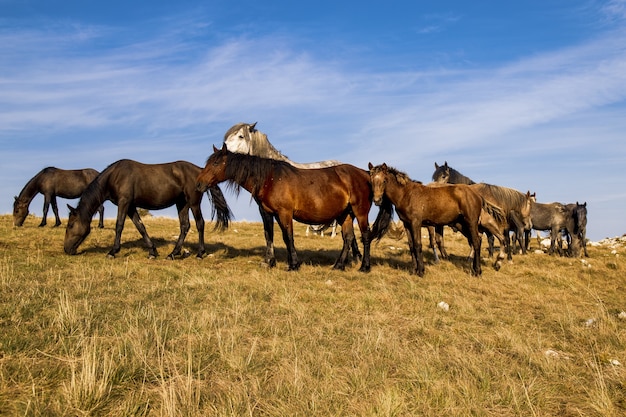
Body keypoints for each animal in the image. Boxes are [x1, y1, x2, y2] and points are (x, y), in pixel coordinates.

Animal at [63, 158, 230, 256]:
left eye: (70, 225)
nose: (66, 249)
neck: (114, 176)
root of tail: (201, 172)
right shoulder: (130, 206)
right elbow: (140, 227)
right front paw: (152, 251)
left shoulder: (124, 203)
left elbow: (119, 225)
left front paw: (113, 251)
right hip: (182, 203)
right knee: (185, 226)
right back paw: (173, 253)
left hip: (194, 203)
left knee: (200, 224)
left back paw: (200, 253)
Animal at [196, 145, 390, 272]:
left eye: (216, 163)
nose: (198, 184)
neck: (270, 179)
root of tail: (365, 174)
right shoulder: (267, 213)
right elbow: (269, 235)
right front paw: (269, 262)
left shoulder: (284, 213)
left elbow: (287, 237)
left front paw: (293, 264)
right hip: (345, 215)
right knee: (348, 238)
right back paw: (338, 265)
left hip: (360, 212)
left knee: (365, 236)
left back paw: (364, 266)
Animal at [368, 162, 504, 276]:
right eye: (371, 181)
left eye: (384, 180)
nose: (377, 200)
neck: (406, 194)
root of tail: (477, 195)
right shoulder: (407, 224)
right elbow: (411, 246)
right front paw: (413, 270)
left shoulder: (416, 223)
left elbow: (418, 245)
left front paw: (421, 271)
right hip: (461, 224)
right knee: (478, 240)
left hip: (471, 222)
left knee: (476, 241)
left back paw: (478, 270)